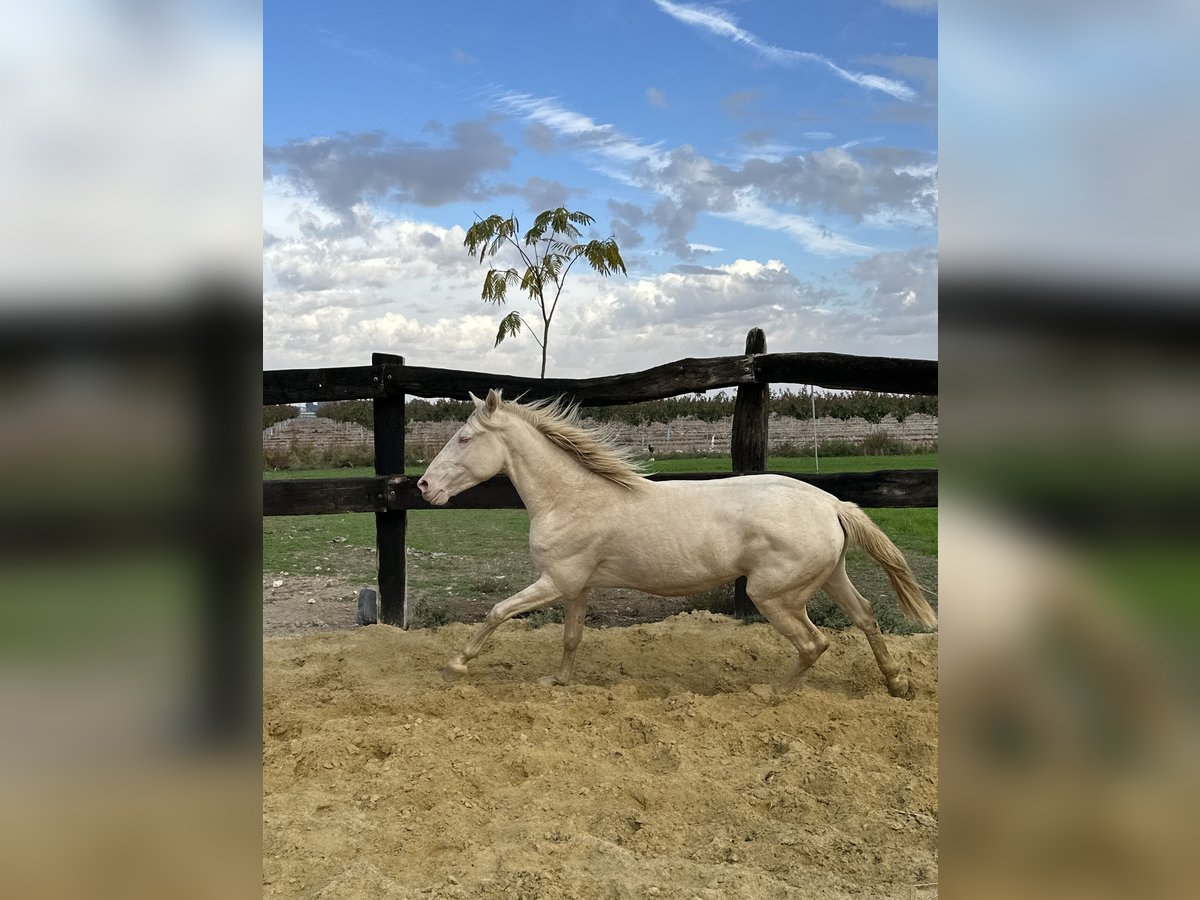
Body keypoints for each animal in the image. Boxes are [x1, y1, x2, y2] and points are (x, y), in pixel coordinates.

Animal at [420, 388, 936, 696]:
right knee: (866, 616)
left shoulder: (556, 580)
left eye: (464, 438)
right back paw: (897, 684)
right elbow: (571, 637)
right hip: (830, 577)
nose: (424, 487)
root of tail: (830, 503)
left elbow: (497, 612)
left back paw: (771, 693)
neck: (571, 498)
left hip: (774, 595)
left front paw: (454, 666)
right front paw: (558, 681)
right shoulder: (577, 587)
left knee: (815, 643)